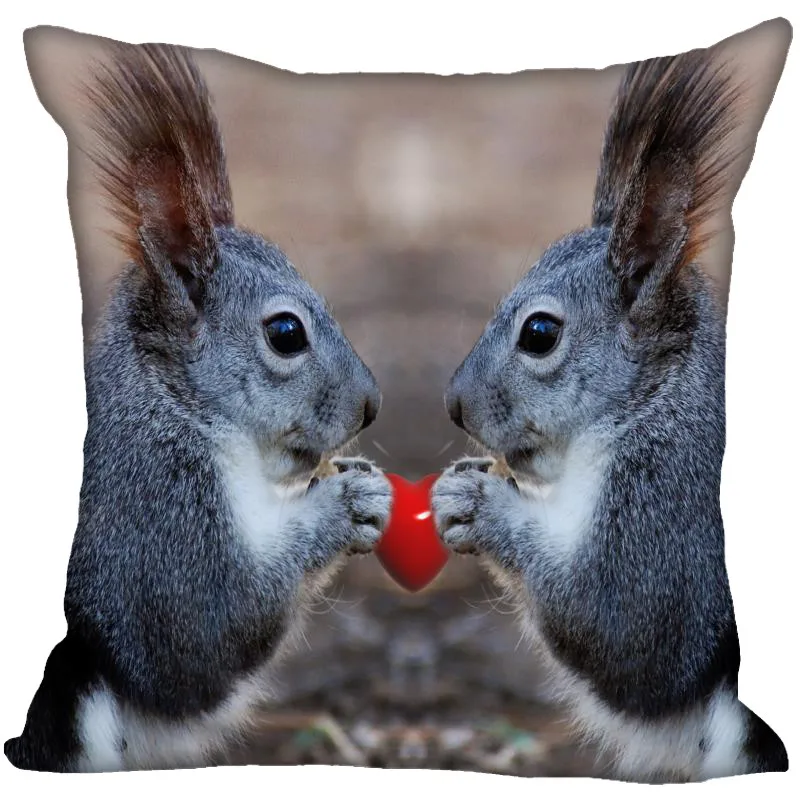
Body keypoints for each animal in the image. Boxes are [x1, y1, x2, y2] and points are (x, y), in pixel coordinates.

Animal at [5, 43, 391, 772]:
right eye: (286, 332)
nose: (371, 407)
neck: (176, 407)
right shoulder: (153, 515)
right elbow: (204, 636)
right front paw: (345, 504)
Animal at [431, 50, 788, 781]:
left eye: (540, 333)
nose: (455, 405)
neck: (654, 403)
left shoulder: (673, 514)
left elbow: (625, 633)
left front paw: (478, 504)